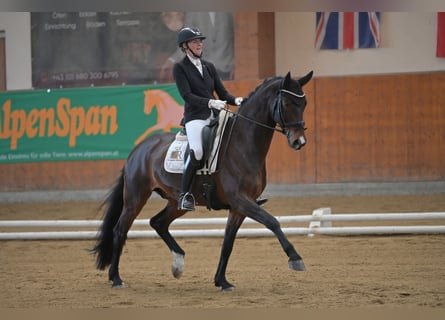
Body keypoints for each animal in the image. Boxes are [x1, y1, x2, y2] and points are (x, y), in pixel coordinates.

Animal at [91, 71, 312, 292]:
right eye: (286, 103)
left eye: (304, 104)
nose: (299, 142)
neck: (242, 144)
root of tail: (137, 150)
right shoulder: (241, 200)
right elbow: (272, 222)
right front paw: (295, 258)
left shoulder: (239, 207)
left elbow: (228, 242)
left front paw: (222, 281)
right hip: (136, 198)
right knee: (120, 230)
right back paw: (116, 278)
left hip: (176, 202)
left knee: (158, 223)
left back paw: (178, 263)